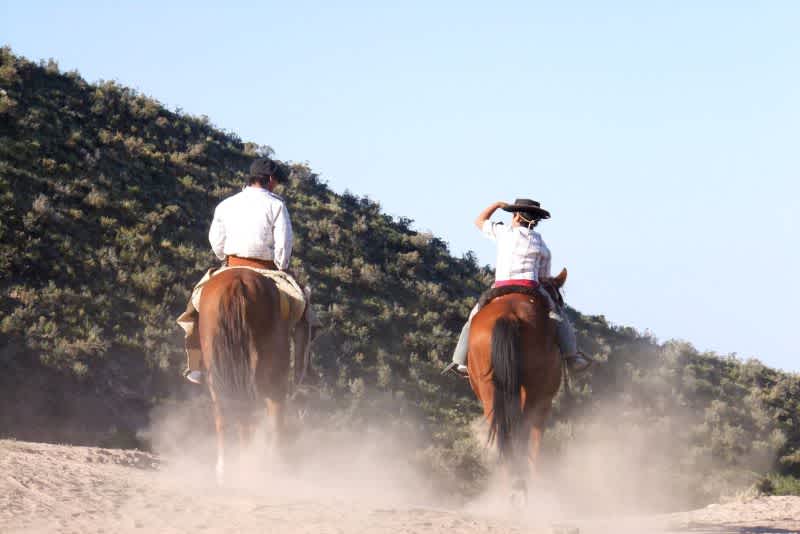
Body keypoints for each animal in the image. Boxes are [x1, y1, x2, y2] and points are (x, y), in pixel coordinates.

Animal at [466, 272, 564, 502]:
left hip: (490, 391)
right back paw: (519, 486)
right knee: (522, 430)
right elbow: (535, 443)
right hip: (534, 393)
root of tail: (508, 315)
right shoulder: (544, 402)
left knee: (502, 431)